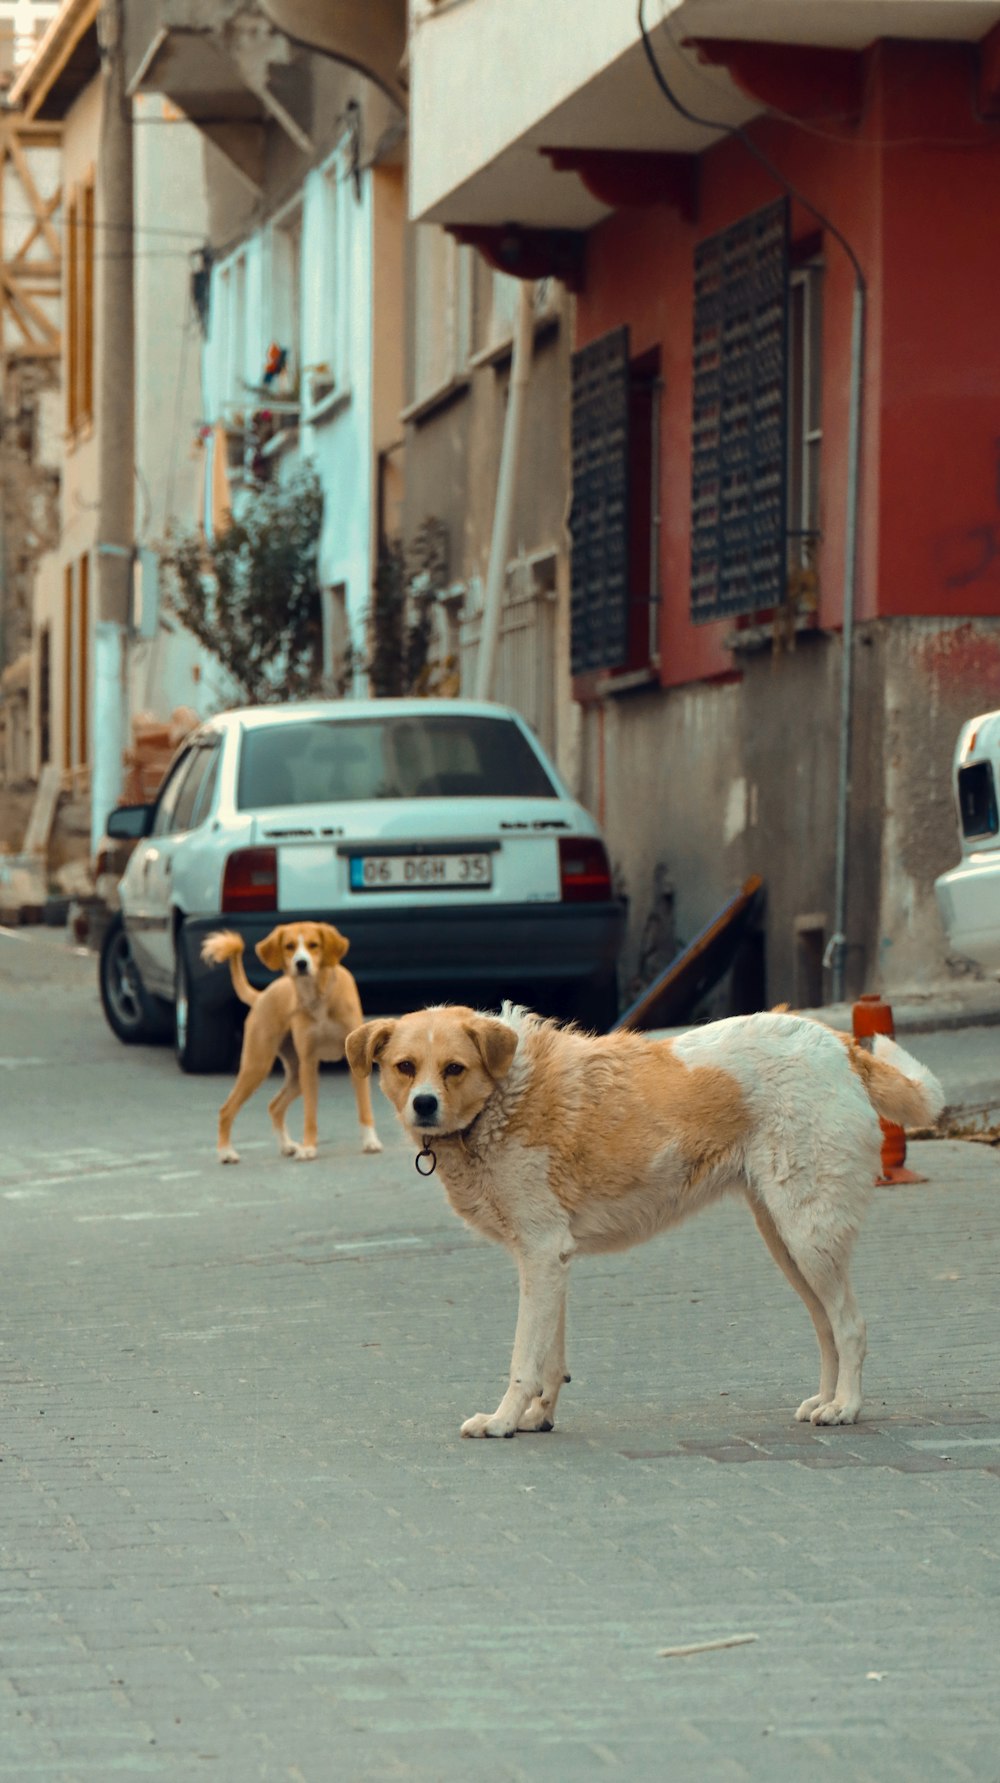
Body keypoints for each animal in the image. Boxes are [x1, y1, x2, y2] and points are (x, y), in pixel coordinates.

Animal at [200, 927, 379, 1162]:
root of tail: (261, 995)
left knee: (274, 1107)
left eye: (314, 945)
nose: (301, 963)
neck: (318, 996)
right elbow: (310, 1113)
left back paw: (286, 1146)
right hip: (259, 1066)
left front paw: (371, 1142)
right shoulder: (309, 1063)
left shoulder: (355, 1066)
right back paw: (226, 1151)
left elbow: (365, 1107)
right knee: (227, 1110)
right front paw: (309, 1147)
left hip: (295, 1077)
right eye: (289, 946)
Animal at [345, 1005, 941, 1433]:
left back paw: (847, 1408)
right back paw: (825, 1399)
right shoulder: (551, 1261)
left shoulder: (541, 1253)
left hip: (809, 1233)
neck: (503, 1098)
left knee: (850, 1325)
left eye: (454, 1069)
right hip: (786, 1239)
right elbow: (549, 1357)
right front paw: (538, 1417)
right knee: (826, 1328)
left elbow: (523, 1358)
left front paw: (502, 1421)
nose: (423, 1104)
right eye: (404, 1067)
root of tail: (838, 1045)